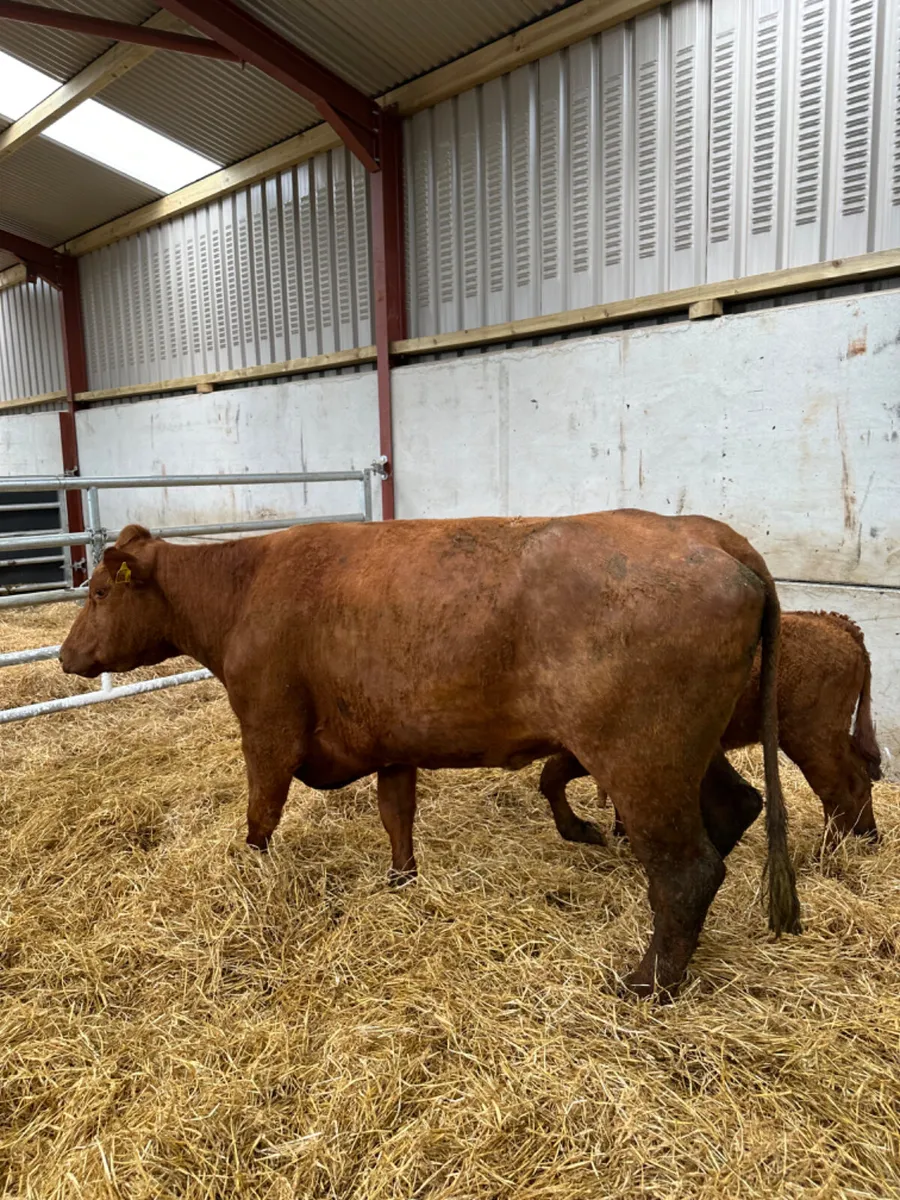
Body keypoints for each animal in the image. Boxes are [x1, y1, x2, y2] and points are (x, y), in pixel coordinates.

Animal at [59, 511, 801, 998]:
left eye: (98, 592)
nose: (66, 655)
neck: (247, 586)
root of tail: (711, 537)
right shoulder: (391, 742)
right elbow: (397, 816)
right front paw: (400, 882)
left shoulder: (268, 728)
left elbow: (260, 817)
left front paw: (250, 882)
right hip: (685, 755)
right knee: (736, 808)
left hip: (642, 762)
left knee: (687, 871)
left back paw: (646, 982)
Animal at [543, 610, 881, 851]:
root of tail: (838, 624)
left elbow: (551, 775)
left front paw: (585, 832)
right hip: (831, 737)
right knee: (859, 776)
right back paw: (867, 836)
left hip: (810, 739)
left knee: (838, 791)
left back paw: (822, 857)